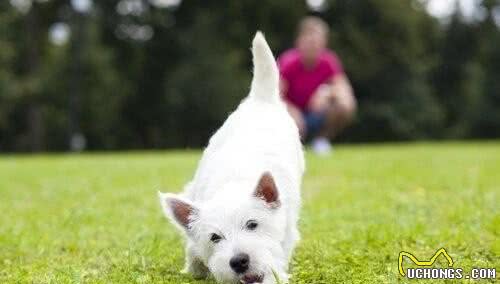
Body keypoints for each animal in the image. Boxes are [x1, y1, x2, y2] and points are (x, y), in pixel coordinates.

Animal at [158, 31, 304, 284]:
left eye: (252, 224)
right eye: (215, 237)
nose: (239, 261)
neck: (233, 183)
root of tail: (260, 99)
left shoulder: (284, 235)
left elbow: (275, 261)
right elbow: (193, 247)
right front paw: (195, 266)